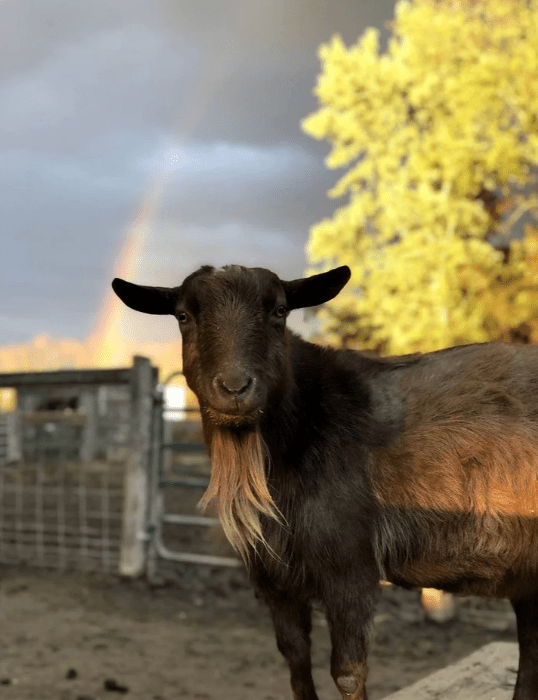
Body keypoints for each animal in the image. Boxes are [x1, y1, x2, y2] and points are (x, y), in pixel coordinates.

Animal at [112, 264, 538, 700]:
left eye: (279, 310)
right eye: (183, 315)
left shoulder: (350, 564)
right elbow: (296, 661)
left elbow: (348, 672)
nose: (234, 388)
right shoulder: (274, 579)